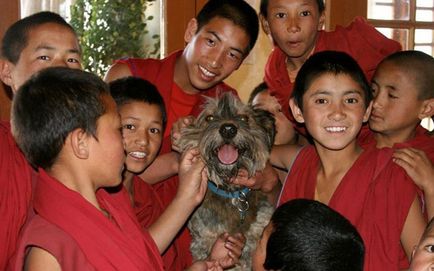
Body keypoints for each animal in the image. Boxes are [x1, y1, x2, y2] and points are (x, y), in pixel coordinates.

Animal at [176, 92, 274, 270]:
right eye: (209, 117)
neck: (232, 192)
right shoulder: (203, 240)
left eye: (243, 118)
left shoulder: (257, 233)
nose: (228, 129)